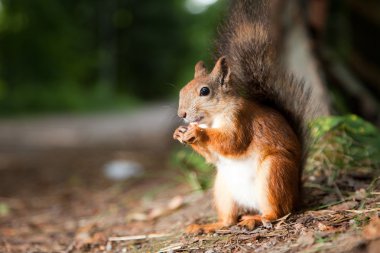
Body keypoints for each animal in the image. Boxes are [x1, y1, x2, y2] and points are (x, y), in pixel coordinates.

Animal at [172, 0, 312, 233]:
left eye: (204, 91)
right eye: (182, 90)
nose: (181, 114)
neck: (213, 119)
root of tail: (297, 194)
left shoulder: (241, 120)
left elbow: (232, 141)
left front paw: (197, 133)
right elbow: (212, 156)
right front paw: (179, 132)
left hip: (274, 172)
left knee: (278, 211)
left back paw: (255, 219)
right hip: (222, 189)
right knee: (229, 219)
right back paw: (209, 225)